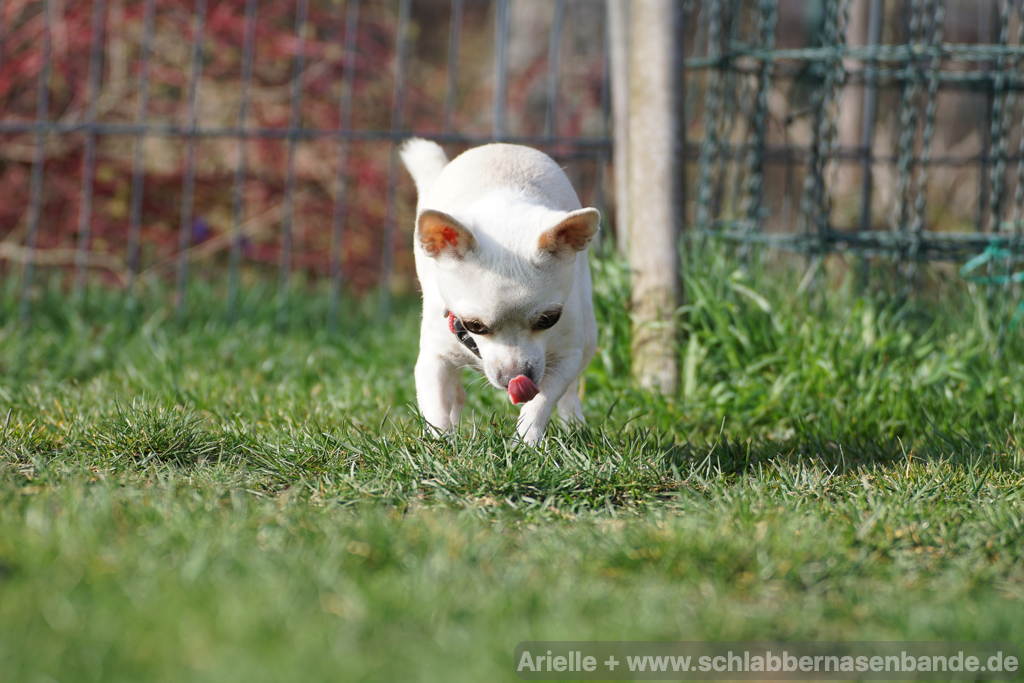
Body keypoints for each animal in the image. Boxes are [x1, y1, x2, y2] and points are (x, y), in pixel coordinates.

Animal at [399, 140, 598, 448]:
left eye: (548, 319)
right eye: (474, 325)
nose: (515, 376)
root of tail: (503, 145)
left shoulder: (566, 356)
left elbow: (542, 401)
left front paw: (525, 443)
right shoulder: (434, 359)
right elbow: (435, 407)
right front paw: (441, 444)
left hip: (588, 336)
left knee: (570, 391)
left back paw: (574, 424)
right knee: (455, 395)